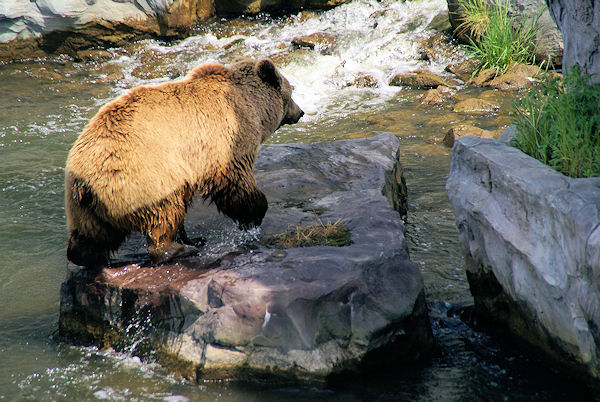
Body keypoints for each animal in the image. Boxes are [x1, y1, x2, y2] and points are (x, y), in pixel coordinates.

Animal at [65, 58, 304, 266]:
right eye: (291, 91)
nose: (300, 112)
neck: (251, 104)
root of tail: (85, 178)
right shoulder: (225, 139)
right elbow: (235, 181)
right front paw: (254, 215)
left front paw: (193, 236)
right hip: (145, 174)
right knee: (163, 212)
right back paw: (176, 250)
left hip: (84, 203)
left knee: (91, 233)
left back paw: (87, 256)